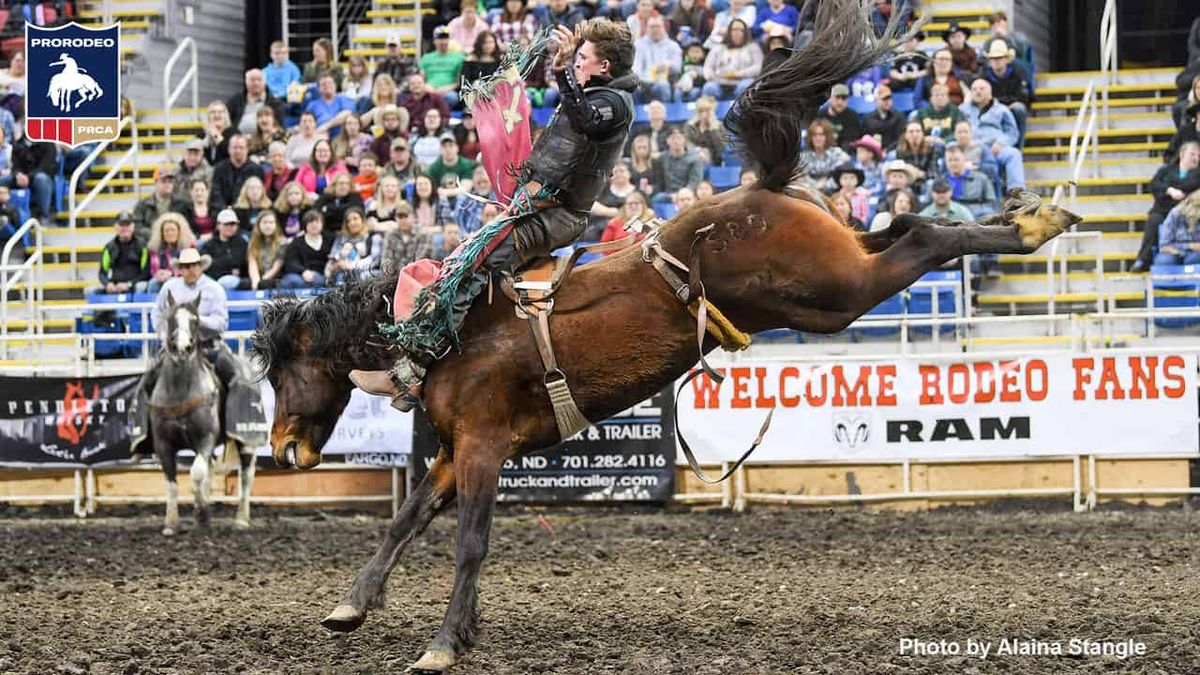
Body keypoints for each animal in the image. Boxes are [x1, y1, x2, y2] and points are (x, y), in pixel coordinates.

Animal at [150, 291, 255, 533]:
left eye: (195, 320)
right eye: (170, 319)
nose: (182, 348)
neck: (180, 389)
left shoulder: (205, 438)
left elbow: (196, 473)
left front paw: (201, 512)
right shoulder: (163, 444)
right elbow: (171, 482)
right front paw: (171, 523)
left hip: (245, 439)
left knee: (246, 474)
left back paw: (241, 519)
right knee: (212, 466)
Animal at [248, 2, 1084, 667]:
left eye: (283, 371)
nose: (283, 449)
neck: (442, 328)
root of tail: (762, 189)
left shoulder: (483, 445)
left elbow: (468, 542)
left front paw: (446, 641)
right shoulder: (455, 450)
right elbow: (405, 519)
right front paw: (353, 605)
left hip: (834, 293)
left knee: (926, 240)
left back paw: (1036, 223)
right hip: (836, 273)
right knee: (908, 229)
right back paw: (1031, 216)